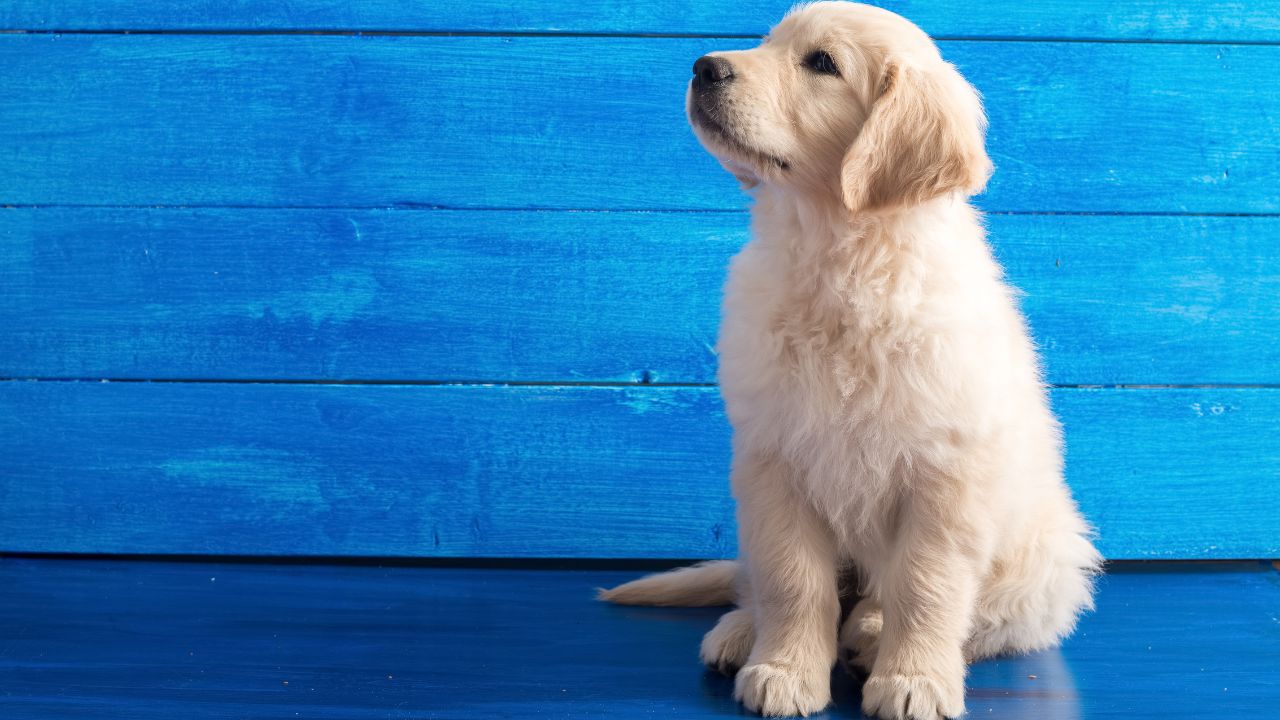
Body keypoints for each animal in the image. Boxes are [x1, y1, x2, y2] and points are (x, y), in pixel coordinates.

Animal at [599, 1, 1100, 717]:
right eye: (768, 43)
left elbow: (926, 585)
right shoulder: (773, 458)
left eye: (821, 63)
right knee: (769, 582)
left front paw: (914, 678)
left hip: (1045, 560)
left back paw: (868, 634)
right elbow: (791, 579)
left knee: (974, 610)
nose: (703, 67)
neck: (837, 257)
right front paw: (784, 668)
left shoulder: (946, 472)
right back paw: (743, 632)